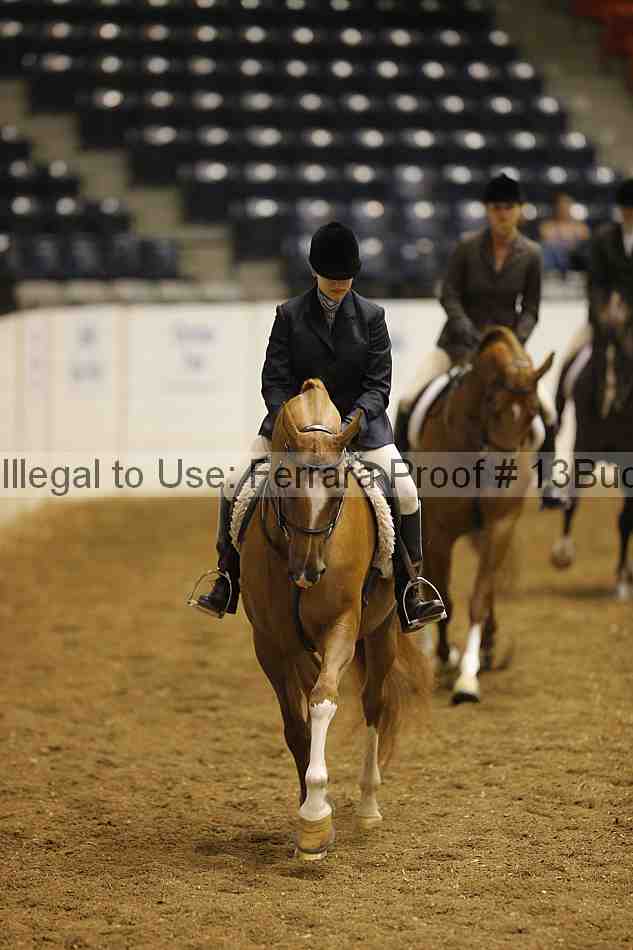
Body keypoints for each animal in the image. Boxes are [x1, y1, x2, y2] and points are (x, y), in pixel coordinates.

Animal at [238, 378, 430, 861]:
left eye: (338, 494)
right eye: (285, 486)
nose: (309, 573)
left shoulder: (341, 628)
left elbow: (324, 701)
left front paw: (314, 818)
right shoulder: (271, 645)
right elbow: (296, 727)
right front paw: (309, 810)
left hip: (381, 634)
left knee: (373, 704)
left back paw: (368, 807)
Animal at [408, 327, 554, 704]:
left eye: (533, 412)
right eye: (492, 405)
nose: (502, 476)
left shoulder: (500, 526)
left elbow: (478, 598)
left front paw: (468, 678)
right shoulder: (439, 531)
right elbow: (445, 596)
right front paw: (445, 657)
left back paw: (487, 647)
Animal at [550, 292, 633, 599]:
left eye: (624, 356)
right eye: (597, 351)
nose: (606, 398)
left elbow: (625, 519)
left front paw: (621, 579)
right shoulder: (584, 446)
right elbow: (572, 498)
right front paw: (563, 552)